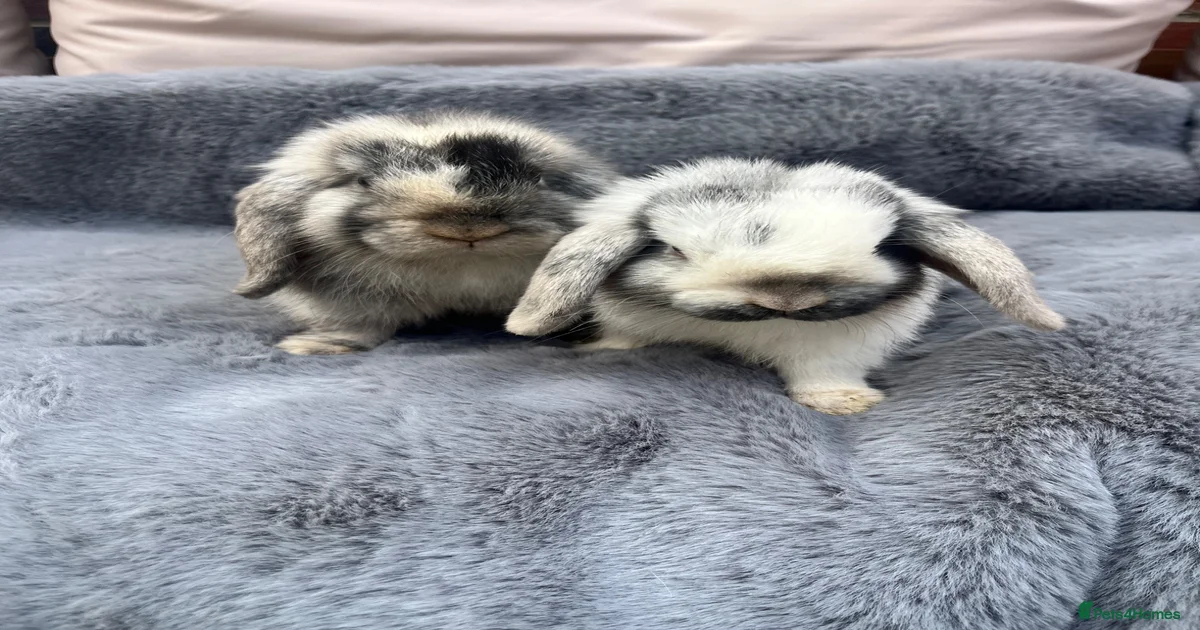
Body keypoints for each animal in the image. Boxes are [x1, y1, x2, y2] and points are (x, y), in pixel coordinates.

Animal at [231, 112, 617, 355]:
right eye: (362, 181)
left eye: (538, 179)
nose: (468, 228)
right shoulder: (351, 306)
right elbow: (360, 327)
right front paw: (315, 347)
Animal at [505, 157, 1065, 415]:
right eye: (675, 250)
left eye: (881, 246)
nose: (786, 297)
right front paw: (604, 350)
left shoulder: (831, 353)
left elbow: (822, 376)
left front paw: (847, 404)